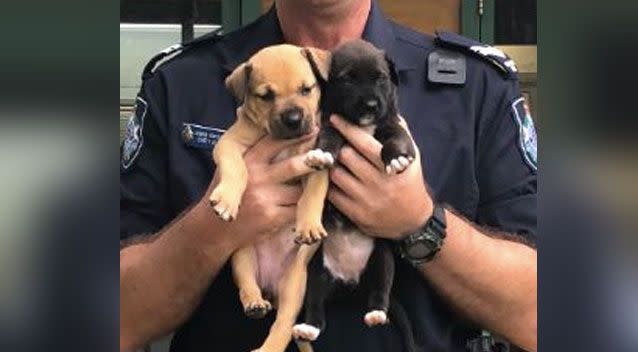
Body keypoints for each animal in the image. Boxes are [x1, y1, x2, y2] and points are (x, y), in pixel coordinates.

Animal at [210, 44, 330, 352]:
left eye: (306, 89)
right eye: (266, 96)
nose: (294, 120)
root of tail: (272, 289)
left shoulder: (317, 159)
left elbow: (313, 193)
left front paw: (308, 224)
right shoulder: (229, 144)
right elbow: (236, 167)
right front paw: (227, 199)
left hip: (295, 283)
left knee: (284, 324)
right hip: (241, 256)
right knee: (247, 284)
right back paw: (255, 303)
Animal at [292, 40, 418, 348]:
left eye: (381, 78)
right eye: (348, 79)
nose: (371, 105)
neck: (364, 125)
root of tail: (350, 286)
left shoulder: (394, 125)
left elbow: (396, 139)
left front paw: (396, 159)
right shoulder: (332, 124)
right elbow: (329, 137)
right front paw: (322, 154)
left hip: (382, 260)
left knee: (380, 291)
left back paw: (376, 313)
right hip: (316, 272)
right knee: (315, 306)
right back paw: (309, 327)